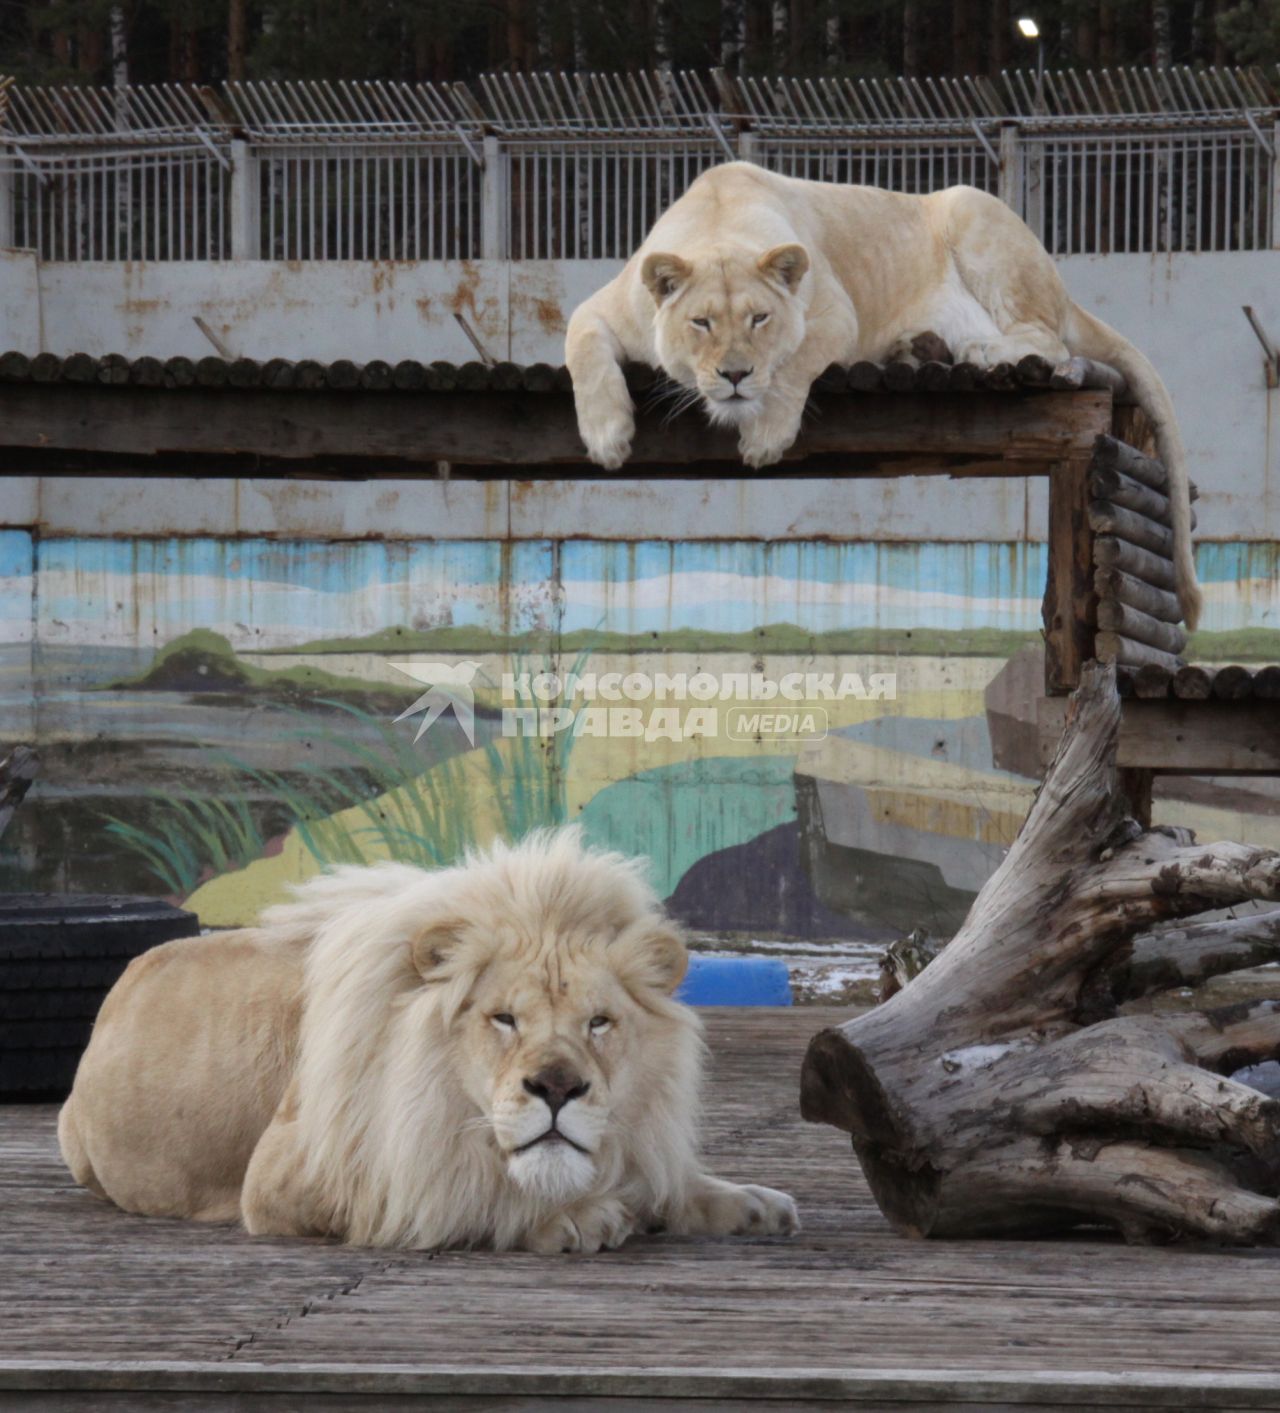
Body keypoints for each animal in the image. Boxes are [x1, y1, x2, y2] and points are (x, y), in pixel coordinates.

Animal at [64, 825, 796, 1249]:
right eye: (504, 1018)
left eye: (598, 1022)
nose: (557, 1087)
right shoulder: (290, 1178)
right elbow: (466, 1192)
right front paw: (577, 1217)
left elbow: (668, 1179)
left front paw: (746, 1201)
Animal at [565, 161, 1198, 630]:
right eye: (701, 323)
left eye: (759, 319)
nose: (736, 375)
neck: (718, 222)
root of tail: (1066, 292)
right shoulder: (603, 306)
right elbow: (582, 347)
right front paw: (607, 438)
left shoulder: (835, 316)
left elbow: (793, 369)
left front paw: (765, 438)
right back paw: (918, 348)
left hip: (973, 210)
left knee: (1046, 340)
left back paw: (976, 353)